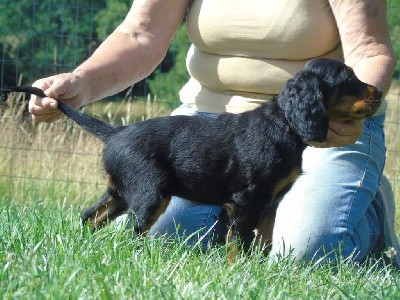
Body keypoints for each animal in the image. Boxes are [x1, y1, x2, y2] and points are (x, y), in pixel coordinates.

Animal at [6, 58, 382, 251]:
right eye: (348, 79)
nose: (379, 92)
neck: (284, 124)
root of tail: (117, 132)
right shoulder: (248, 199)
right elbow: (239, 243)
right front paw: (238, 272)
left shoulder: (269, 203)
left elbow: (261, 240)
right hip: (150, 193)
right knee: (131, 232)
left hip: (121, 193)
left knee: (90, 216)